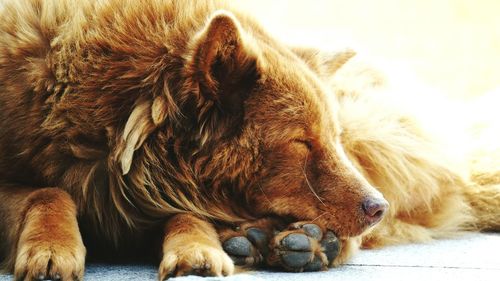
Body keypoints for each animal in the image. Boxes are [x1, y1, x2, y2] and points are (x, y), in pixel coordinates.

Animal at [0, 0, 498, 280]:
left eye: (330, 137)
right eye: (302, 143)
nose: (377, 207)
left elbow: (185, 212)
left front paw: (198, 249)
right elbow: (48, 191)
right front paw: (51, 249)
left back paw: (300, 242)